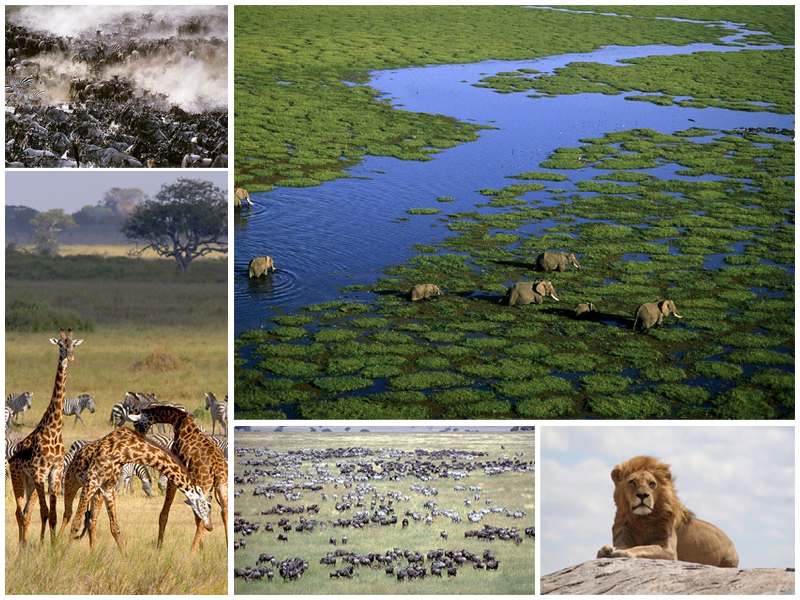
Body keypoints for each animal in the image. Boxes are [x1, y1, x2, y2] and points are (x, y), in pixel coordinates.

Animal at [8, 328, 83, 544]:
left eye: (72, 344)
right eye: (60, 345)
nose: (70, 356)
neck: (54, 428)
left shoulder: (55, 473)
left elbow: (53, 514)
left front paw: (52, 545)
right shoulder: (40, 472)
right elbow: (45, 512)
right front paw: (42, 545)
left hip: (30, 484)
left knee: (26, 512)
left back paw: (24, 544)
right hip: (18, 478)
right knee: (19, 512)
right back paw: (22, 545)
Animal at [58, 428, 211, 552]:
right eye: (206, 506)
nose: (209, 526)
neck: (126, 451)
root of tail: (76, 453)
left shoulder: (108, 487)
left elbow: (115, 527)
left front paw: (124, 556)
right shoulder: (92, 481)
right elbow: (76, 523)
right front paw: (64, 554)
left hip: (97, 492)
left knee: (91, 520)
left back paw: (92, 552)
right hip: (72, 482)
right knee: (68, 513)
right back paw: (56, 544)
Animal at [128, 404, 228, 552]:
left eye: (136, 423)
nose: (139, 437)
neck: (178, 421)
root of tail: (216, 468)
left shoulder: (173, 476)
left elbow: (164, 514)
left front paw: (159, 548)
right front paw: (202, 550)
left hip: (204, 486)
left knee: (203, 519)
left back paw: (190, 554)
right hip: (222, 486)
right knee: (224, 513)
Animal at [596, 454, 740, 568]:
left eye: (652, 483)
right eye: (632, 482)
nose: (642, 495)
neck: (641, 519)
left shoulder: (669, 550)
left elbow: (643, 547)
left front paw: (624, 552)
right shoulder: (623, 535)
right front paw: (605, 550)